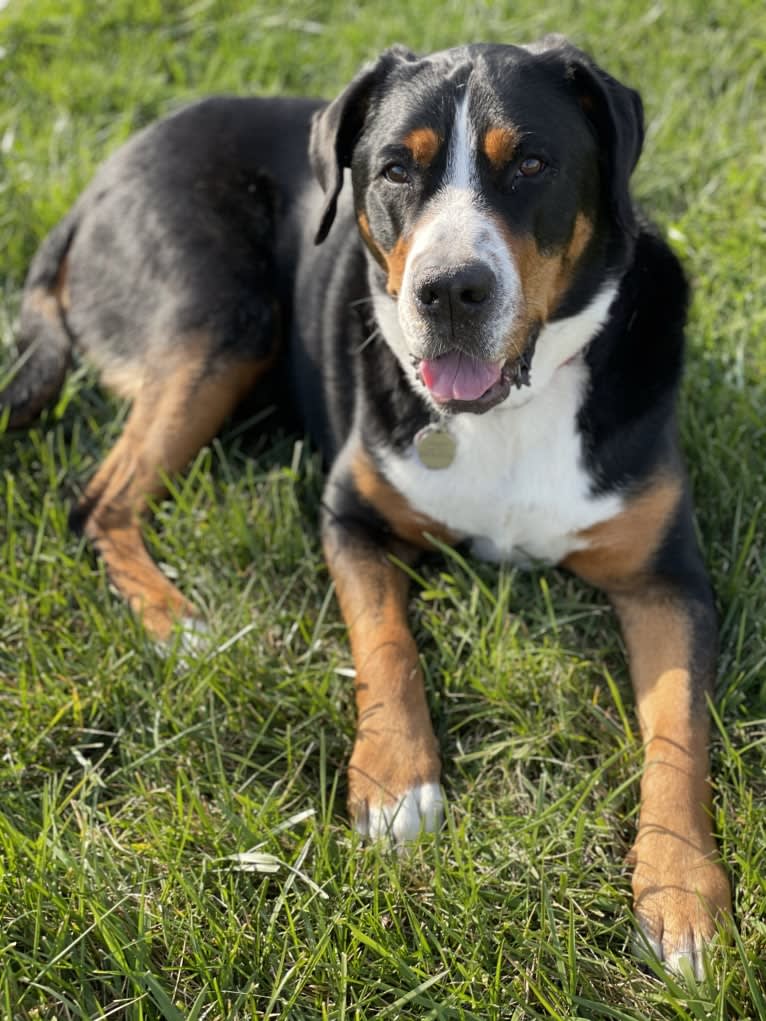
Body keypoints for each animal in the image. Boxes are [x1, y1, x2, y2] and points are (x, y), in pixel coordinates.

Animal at [0, 39, 731, 976]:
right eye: (394, 169)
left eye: (531, 163)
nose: (449, 290)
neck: (508, 410)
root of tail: (100, 179)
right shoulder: (349, 513)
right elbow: (385, 640)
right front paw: (394, 780)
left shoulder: (667, 578)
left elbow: (678, 732)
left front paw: (682, 894)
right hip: (220, 312)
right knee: (96, 502)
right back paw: (181, 624)